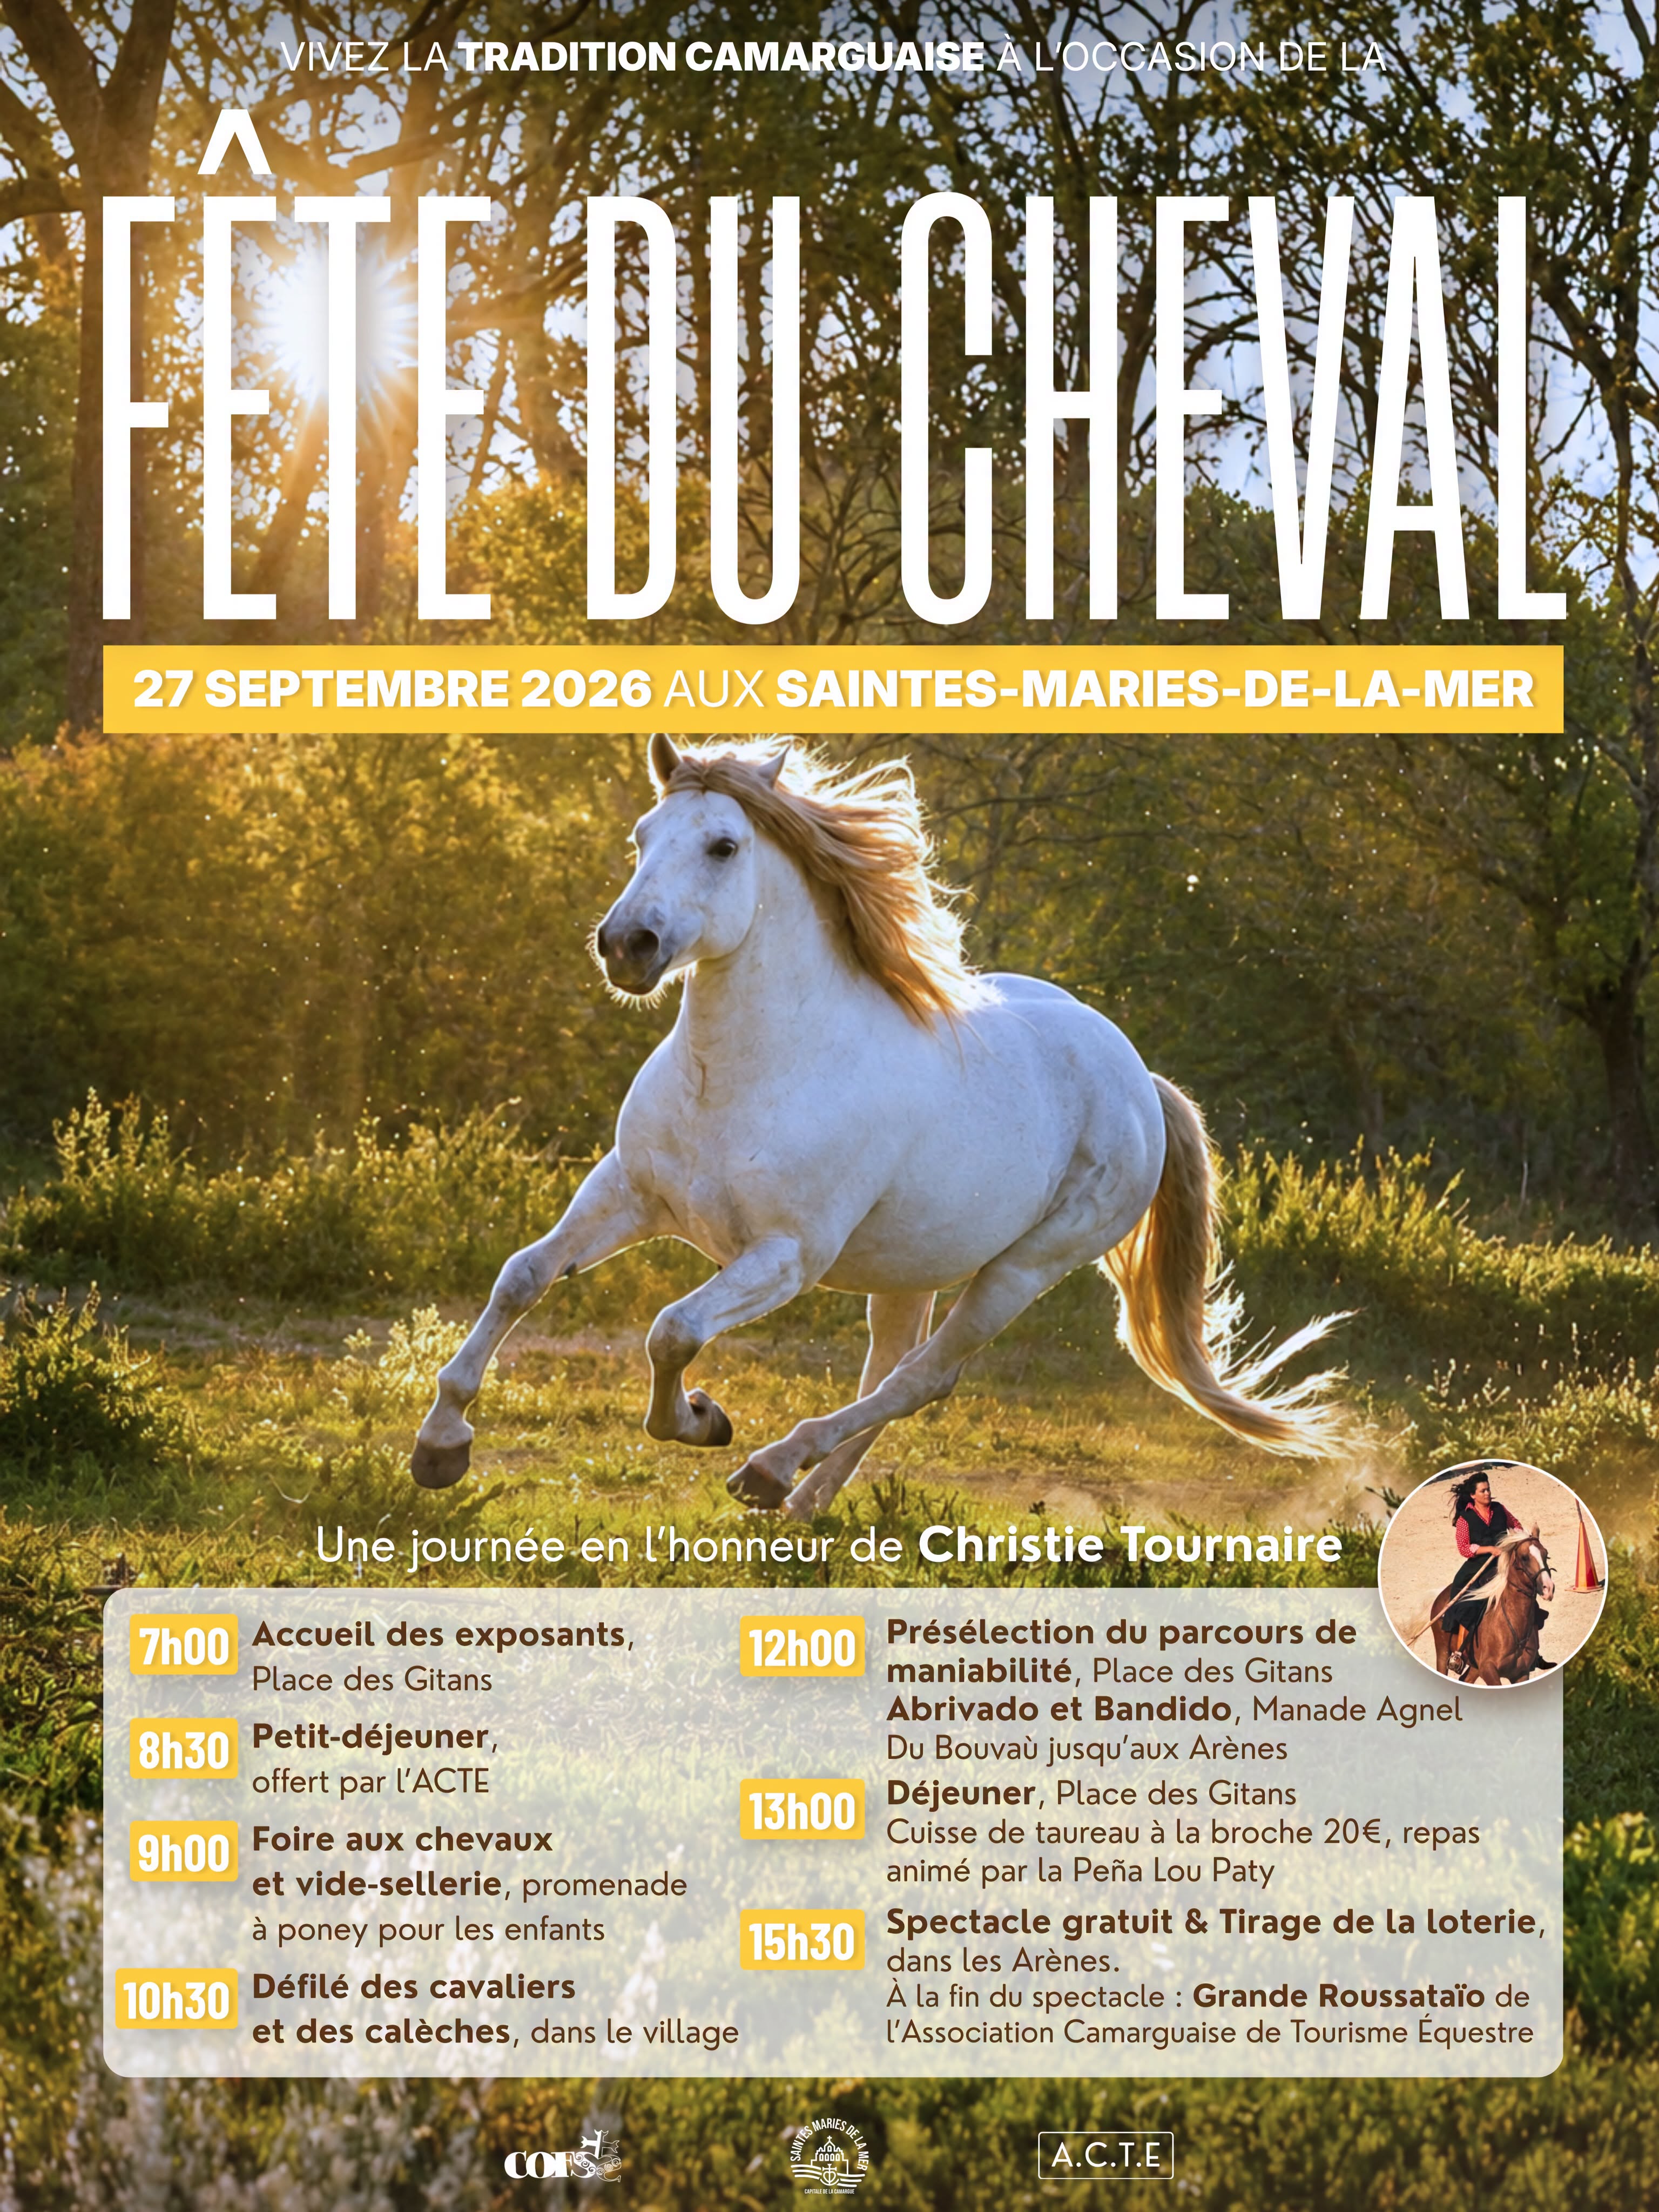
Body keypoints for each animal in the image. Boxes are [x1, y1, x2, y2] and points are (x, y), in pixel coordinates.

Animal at [410, 737, 1346, 1516]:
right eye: (642, 836)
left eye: (724, 846)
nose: (626, 946)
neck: (747, 1076)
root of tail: (1140, 1080)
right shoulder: (628, 1192)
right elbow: (523, 1277)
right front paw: (441, 1446)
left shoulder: (785, 1256)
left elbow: (672, 1330)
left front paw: (703, 1419)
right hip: (911, 1269)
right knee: (894, 1371)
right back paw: (799, 1503)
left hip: (1022, 1271)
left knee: (923, 1380)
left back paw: (769, 1470)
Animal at [1429, 1528, 1556, 1685]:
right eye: (1524, 1557)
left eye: (1546, 1554)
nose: (1548, 1588)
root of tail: (1441, 1596)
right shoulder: (1489, 1671)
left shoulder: (1521, 1674)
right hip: (1442, 1650)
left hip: (1474, 1666)